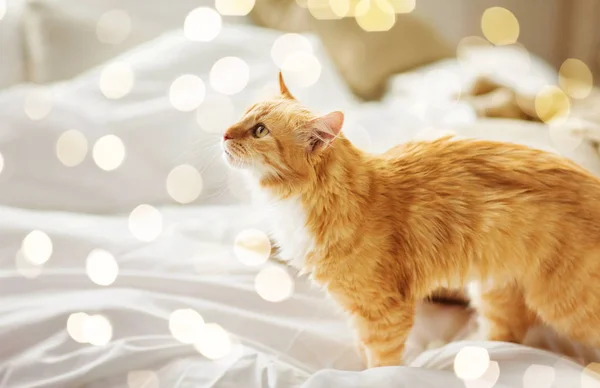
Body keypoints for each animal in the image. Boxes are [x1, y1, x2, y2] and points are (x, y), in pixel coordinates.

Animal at [221, 72, 600, 366]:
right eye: (242, 115)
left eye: (259, 131)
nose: (224, 132)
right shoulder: (356, 308)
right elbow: (363, 347)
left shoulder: (384, 308)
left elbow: (382, 362)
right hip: (494, 289)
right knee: (507, 335)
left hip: (565, 304)